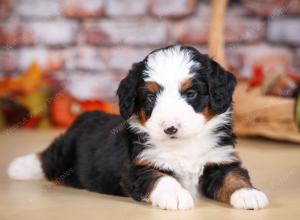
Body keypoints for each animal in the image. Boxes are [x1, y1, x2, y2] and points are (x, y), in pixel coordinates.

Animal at [7, 44, 270, 210]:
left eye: (191, 93)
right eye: (151, 97)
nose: (170, 128)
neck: (183, 146)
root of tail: (84, 117)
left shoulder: (220, 160)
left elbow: (234, 177)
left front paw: (248, 194)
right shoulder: (138, 167)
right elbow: (162, 178)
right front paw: (176, 195)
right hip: (65, 153)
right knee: (46, 157)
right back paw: (19, 167)